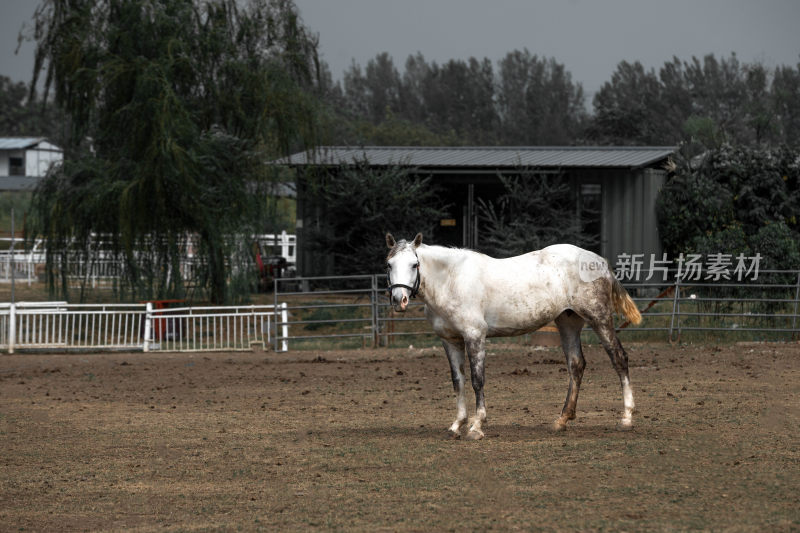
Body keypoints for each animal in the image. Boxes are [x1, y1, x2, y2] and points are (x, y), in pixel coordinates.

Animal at [384, 233, 640, 440]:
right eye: (388, 265)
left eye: (415, 264)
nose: (399, 300)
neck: (451, 280)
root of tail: (599, 262)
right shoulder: (450, 341)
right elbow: (458, 381)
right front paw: (457, 425)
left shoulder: (475, 336)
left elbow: (477, 380)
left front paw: (476, 427)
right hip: (568, 322)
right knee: (576, 365)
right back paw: (562, 420)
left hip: (599, 319)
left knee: (619, 358)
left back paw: (626, 418)